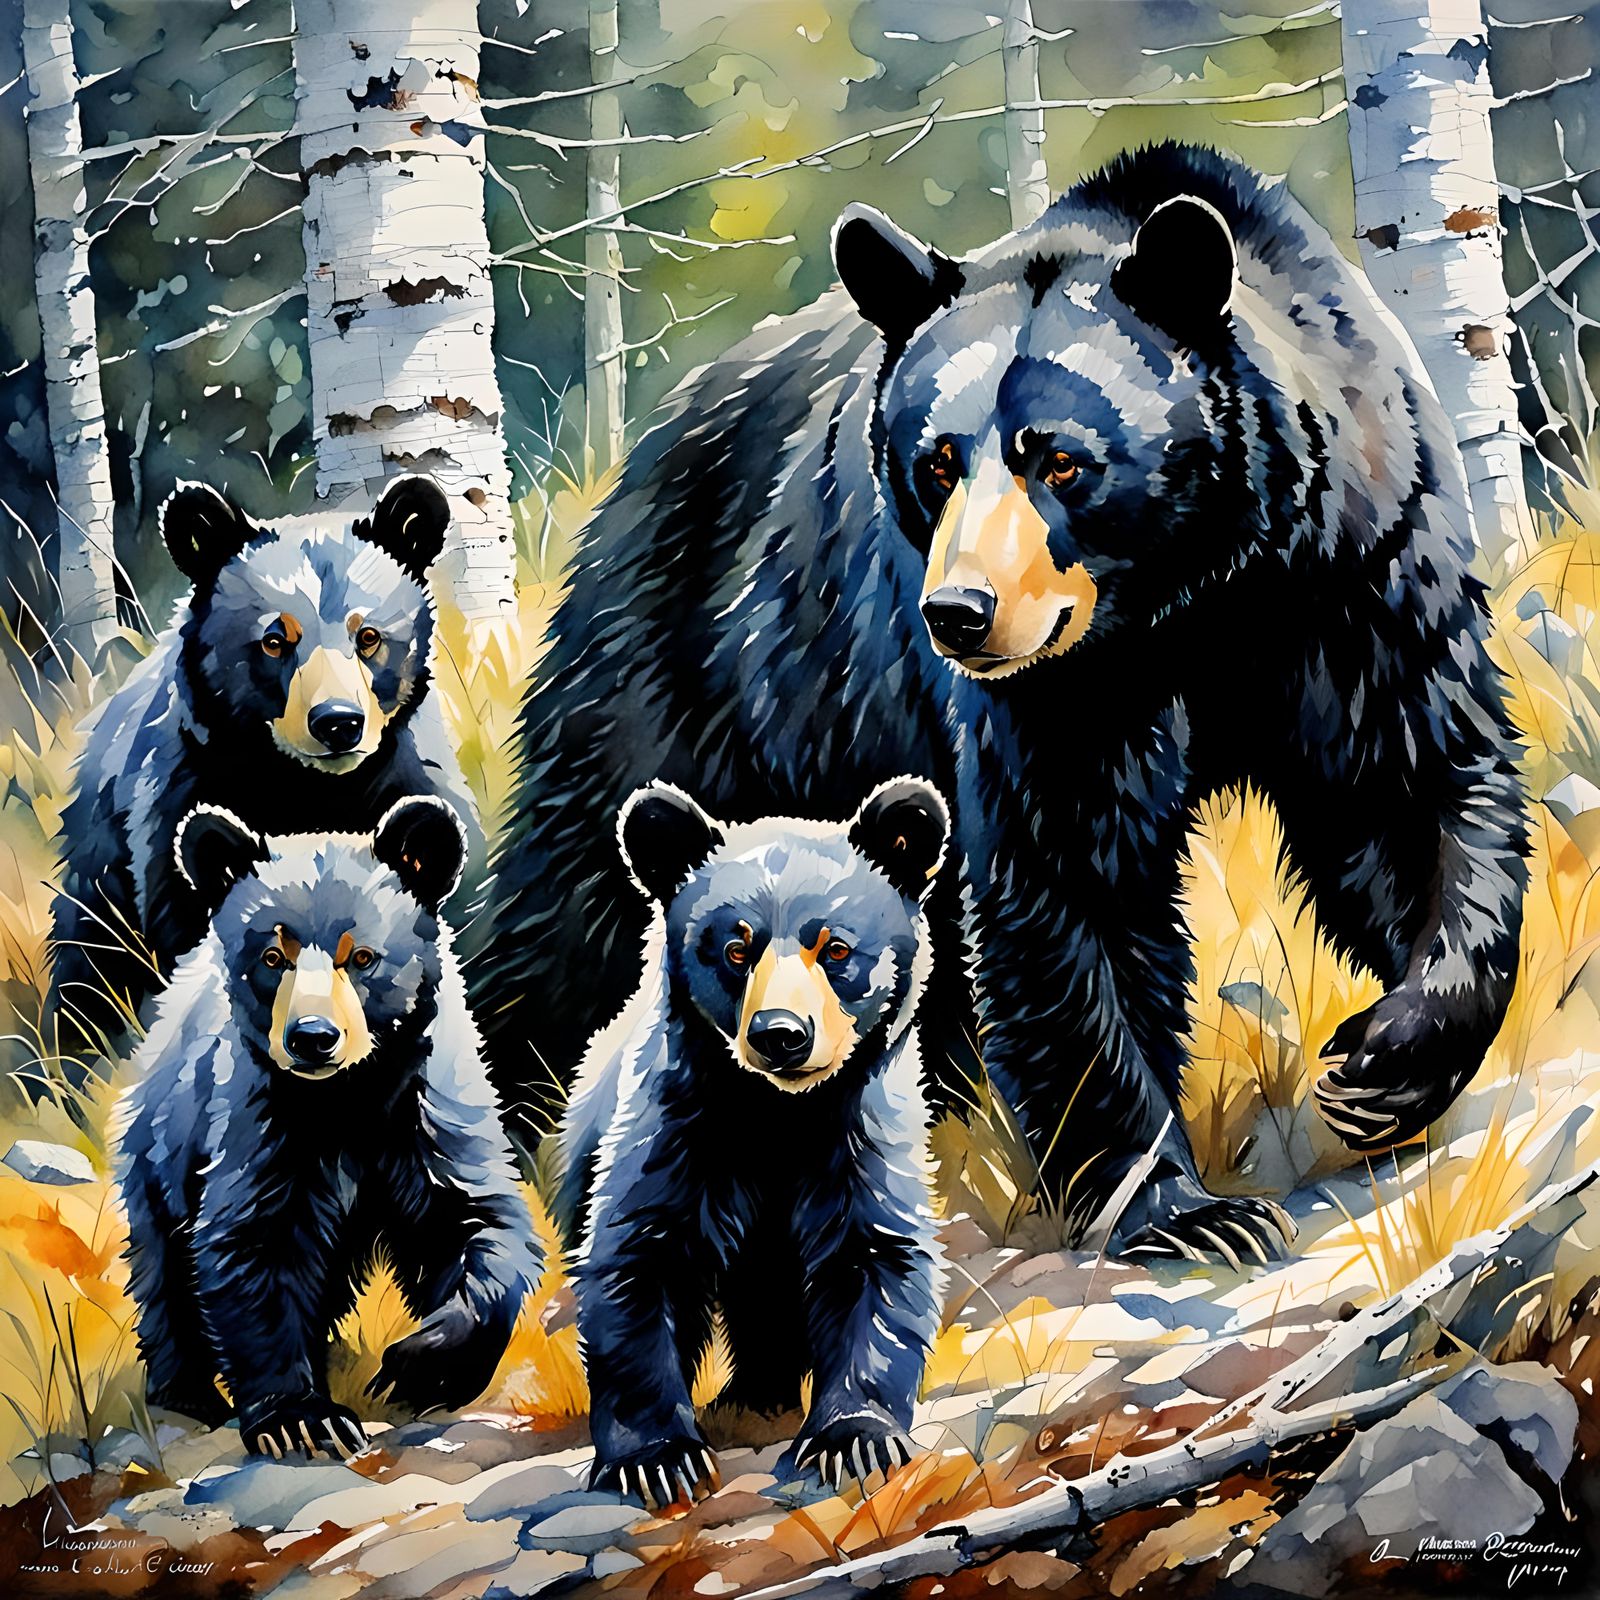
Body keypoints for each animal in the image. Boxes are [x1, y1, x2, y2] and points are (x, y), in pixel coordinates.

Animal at [50, 475, 483, 1067]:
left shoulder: (403, 778)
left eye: (368, 636)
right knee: (87, 964)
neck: (305, 788)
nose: (338, 722)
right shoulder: (186, 795)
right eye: (275, 640)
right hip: (98, 862)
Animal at [115, 796, 534, 1457]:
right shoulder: (261, 1125)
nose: (313, 1038)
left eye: (361, 956)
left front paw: (418, 1365)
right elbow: (253, 1245)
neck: (347, 1100)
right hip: (162, 1152)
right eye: (272, 957)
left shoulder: (423, 1112)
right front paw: (303, 1418)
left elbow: (477, 1223)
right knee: (166, 1278)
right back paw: (186, 1393)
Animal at [471, 142, 1527, 1262]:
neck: (1189, 598)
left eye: (1057, 456)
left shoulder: (1352, 576)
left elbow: (1406, 782)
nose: (957, 613)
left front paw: (1391, 1059)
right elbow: (1069, 884)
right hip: (692, 672)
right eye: (935, 461)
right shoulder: (1055, 698)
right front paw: (1185, 1209)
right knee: (572, 909)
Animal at [560, 778, 948, 1506]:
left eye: (836, 949)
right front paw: (657, 1458)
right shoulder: (679, 1131)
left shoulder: (860, 1138)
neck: (777, 1118)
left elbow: (876, 1257)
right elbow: (637, 1260)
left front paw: (855, 1438)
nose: (781, 1034)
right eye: (736, 949)